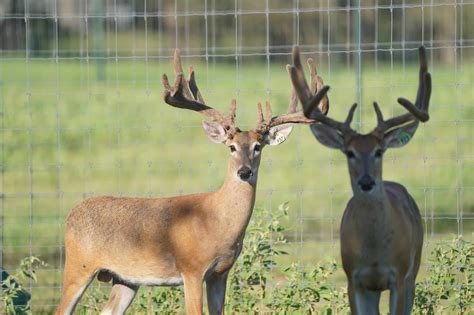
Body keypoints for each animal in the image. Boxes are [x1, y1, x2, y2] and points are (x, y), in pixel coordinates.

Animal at [54, 49, 330, 315]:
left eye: (257, 146)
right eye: (231, 147)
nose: (244, 172)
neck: (216, 222)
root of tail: (72, 214)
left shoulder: (220, 273)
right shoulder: (192, 269)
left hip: (126, 279)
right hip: (78, 266)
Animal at [286, 45, 432, 314]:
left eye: (379, 151)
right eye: (349, 152)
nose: (366, 182)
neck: (374, 253)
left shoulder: (399, 276)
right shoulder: (354, 279)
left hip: (415, 267)